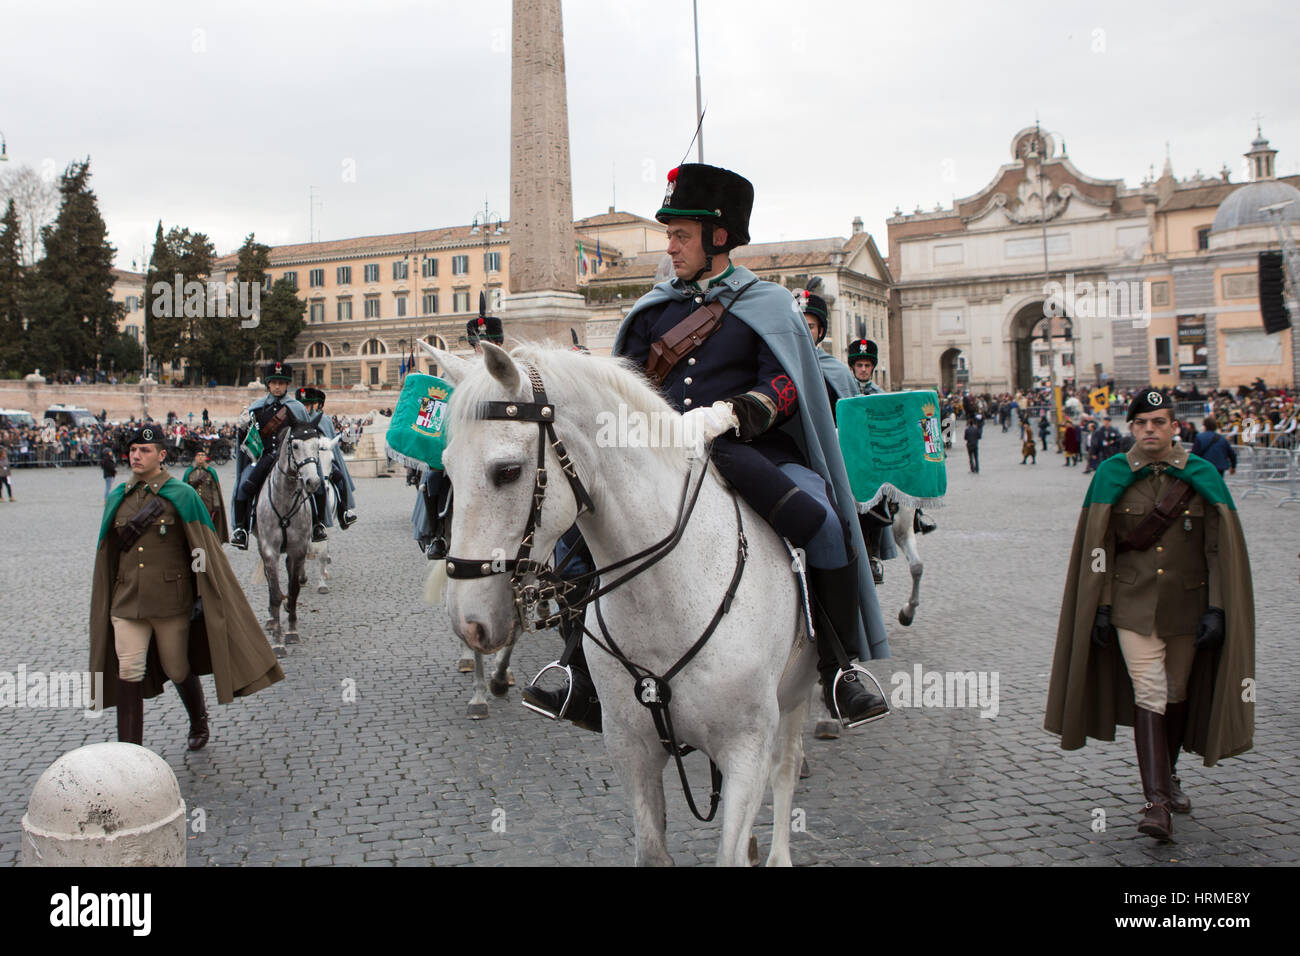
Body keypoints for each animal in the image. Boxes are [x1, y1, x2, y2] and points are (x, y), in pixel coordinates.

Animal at [428, 338, 821, 868]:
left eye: (506, 472)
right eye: (446, 468)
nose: (467, 621)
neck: (666, 598)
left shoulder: (747, 750)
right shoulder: (631, 748)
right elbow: (653, 851)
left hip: (796, 693)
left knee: (787, 764)